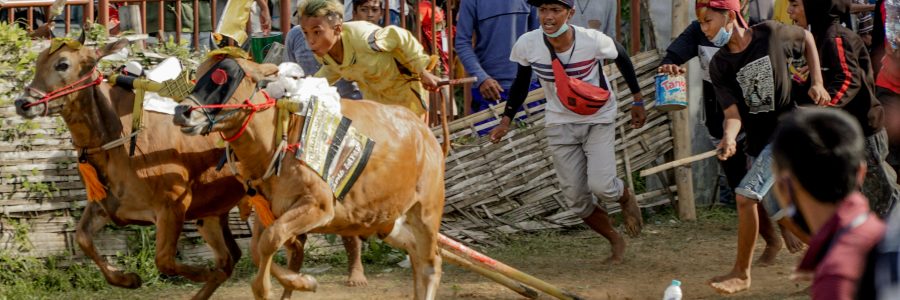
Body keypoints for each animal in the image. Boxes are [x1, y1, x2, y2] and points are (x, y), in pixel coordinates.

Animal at [10, 36, 316, 298]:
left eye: (62, 64)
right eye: (38, 61)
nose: (22, 103)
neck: (120, 138)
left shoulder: (173, 206)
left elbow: (165, 261)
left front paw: (202, 272)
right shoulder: (107, 205)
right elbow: (83, 238)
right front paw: (128, 278)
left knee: (285, 246)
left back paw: (296, 281)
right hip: (213, 213)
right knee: (236, 255)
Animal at [173, 55, 446, 298]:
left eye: (224, 77)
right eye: (197, 75)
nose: (182, 110)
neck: (277, 142)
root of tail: (426, 133)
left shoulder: (319, 206)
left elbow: (270, 241)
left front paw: (283, 284)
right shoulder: (268, 211)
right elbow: (257, 249)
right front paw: (300, 281)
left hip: (426, 212)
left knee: (431, 263)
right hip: (386, 220)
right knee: (415, 253)